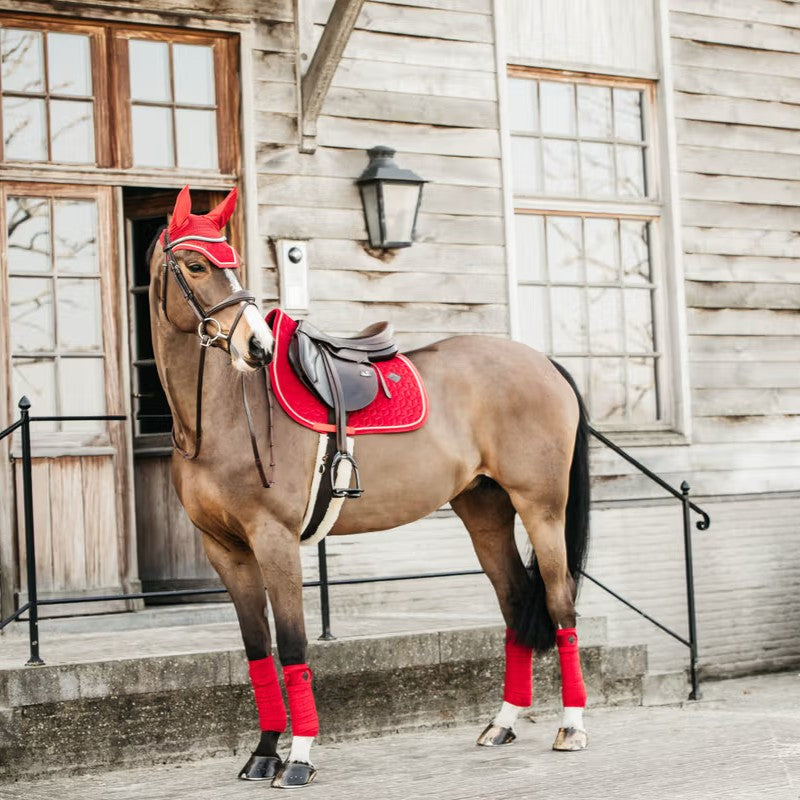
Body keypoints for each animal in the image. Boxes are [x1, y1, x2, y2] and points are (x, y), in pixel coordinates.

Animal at [147, 186, 591, 789]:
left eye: (232, 262)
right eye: (196, 265)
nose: (257, 346)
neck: (220, 417)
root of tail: (542, 361)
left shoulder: (275, 542)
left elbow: (293, 646)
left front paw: (300, 757)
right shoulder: (226, 551)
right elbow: (258, 650)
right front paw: (264, 752)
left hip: (542, 508)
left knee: (561, 603)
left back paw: (572, 726)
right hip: (485, 513)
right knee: (516, 603)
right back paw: (502, 722)